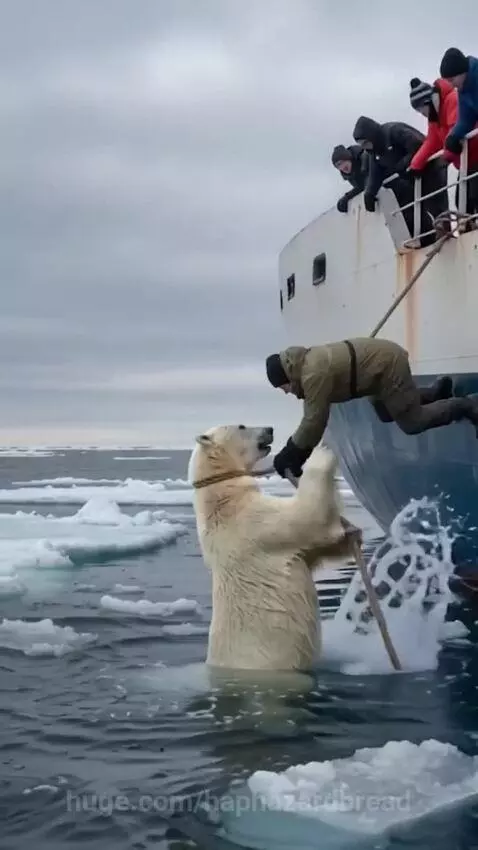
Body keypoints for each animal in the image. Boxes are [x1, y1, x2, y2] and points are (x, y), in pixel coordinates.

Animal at [188, 423, 360, 673]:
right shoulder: (254, 524)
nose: (269, 429)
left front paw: (352, 535)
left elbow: (314, 550)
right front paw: (321, 452)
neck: (222, 498)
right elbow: (307, 516)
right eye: (242, 426)